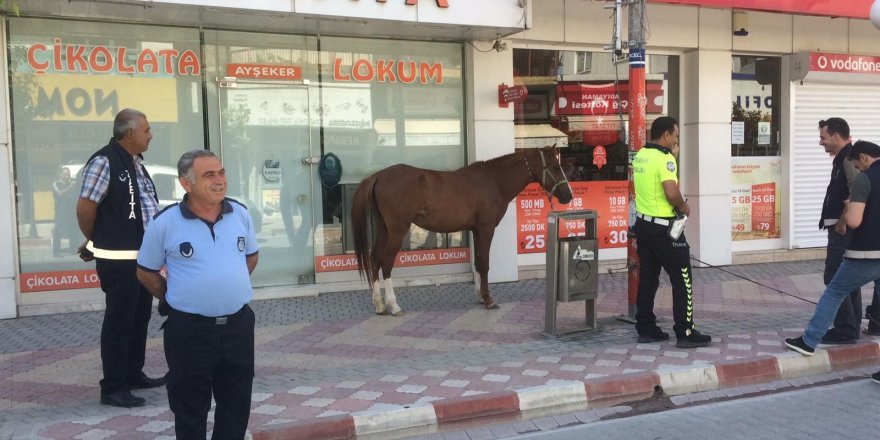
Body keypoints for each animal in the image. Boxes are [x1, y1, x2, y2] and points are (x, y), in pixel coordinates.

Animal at [354, 146, 576, 314]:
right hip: (397, 230)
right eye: (555, 167)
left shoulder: (476, 230)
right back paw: (393, 305)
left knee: (375, 260)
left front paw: (480, 296)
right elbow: (484, 263)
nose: (568, 196)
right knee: (386, 262)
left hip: (384, 229)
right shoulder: (486, 229)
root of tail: (379, 175)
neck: (494, 181)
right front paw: (488, 300)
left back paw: (379, 305)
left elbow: (478, 262)